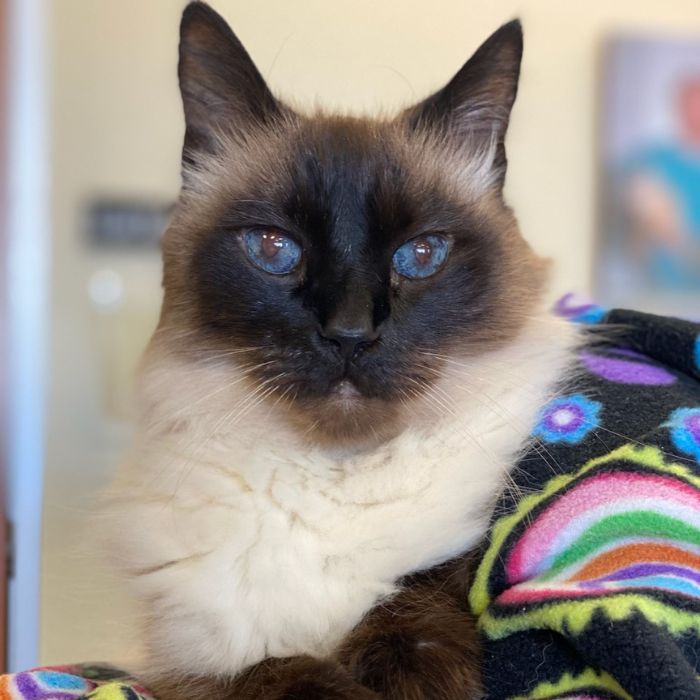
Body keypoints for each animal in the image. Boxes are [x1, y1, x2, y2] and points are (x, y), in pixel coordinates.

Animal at [102, 2, 576, 696]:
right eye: (274, 249)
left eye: (421, 254)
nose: (350, 333)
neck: (331, 476)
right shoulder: (183, 665)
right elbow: (277, 673)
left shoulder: (452, 559)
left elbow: (420, 594)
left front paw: (412, 676)